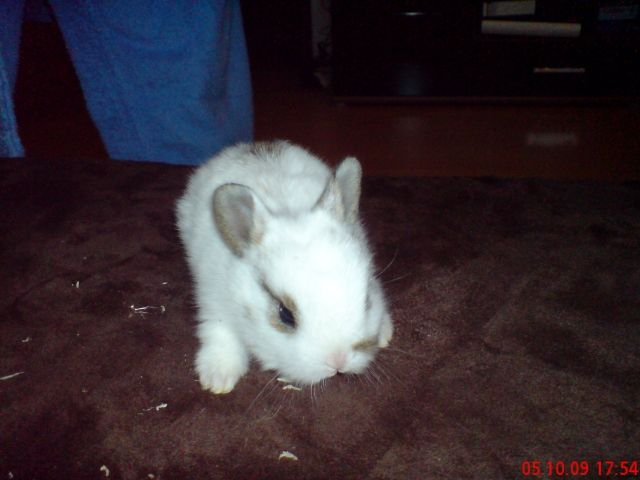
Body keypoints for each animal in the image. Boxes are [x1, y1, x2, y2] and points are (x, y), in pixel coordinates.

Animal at [176, 141, 393, 394]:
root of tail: (252, 145)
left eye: (367, 300)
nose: (338, 362)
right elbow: (220, 331)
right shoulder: (213, 300)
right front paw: (218, 378)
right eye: (285, 315)